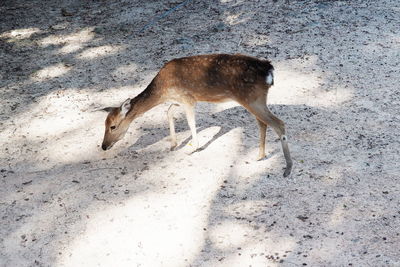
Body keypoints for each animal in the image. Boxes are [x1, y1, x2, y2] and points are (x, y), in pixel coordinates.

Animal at [101, 53, 294, 177]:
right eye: (104, 124)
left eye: (113, 126)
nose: (103, 146)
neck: (162, 90)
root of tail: (269, 72)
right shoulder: (178, 100)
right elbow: (169, 112)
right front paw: (173, 145)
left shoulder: (187, 99)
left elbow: (190, 122)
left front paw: (194, 147)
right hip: (255, 100)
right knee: (263, 123)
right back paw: (260, 156)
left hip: (252, 99)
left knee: (279, 123)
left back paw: (287, 168)